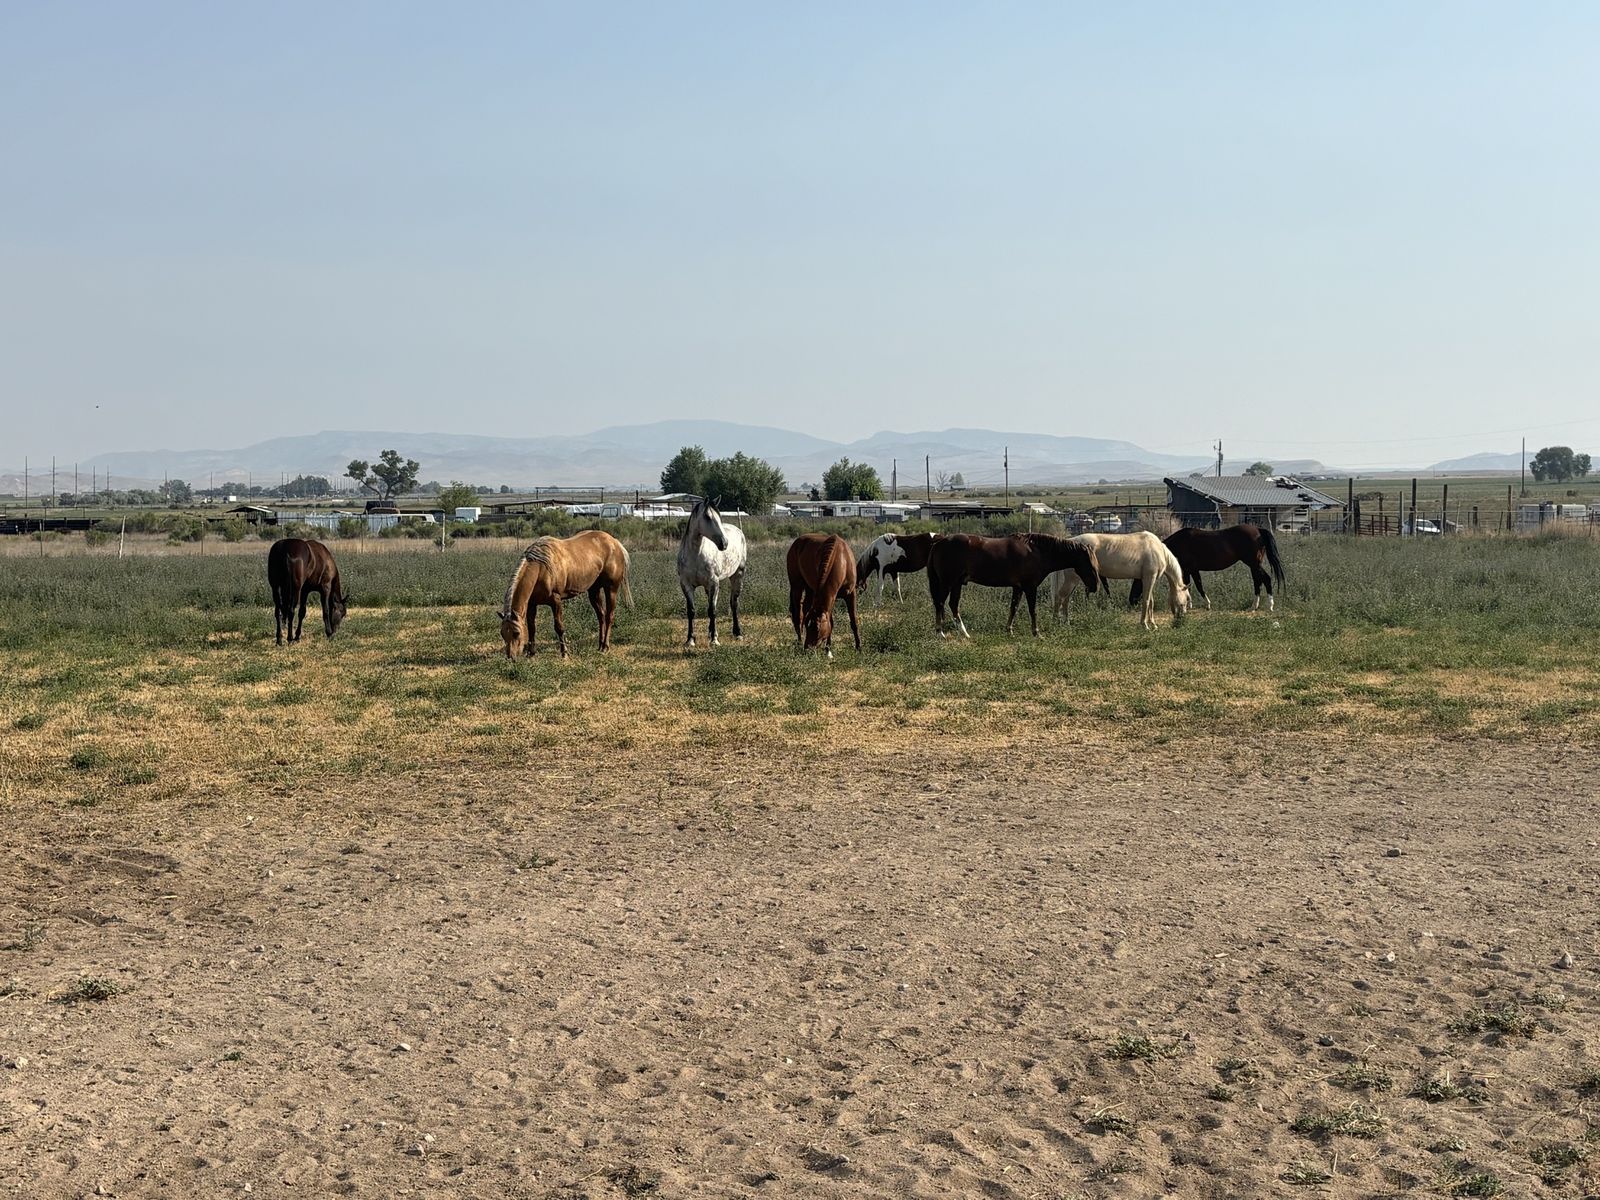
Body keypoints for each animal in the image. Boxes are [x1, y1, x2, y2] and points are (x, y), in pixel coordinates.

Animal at [498, 530, 632, 658]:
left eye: (516, 633)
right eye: (502, 633)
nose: (511, 657)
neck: (541, 568)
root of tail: (615, 542)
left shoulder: (556, 601)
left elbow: (559, 627)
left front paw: (565, 653)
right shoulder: (532, 604)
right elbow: (532, 627)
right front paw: (531, 653)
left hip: (611, 589)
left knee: (609, 616)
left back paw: (605, 647)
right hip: (594, 591)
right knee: (601, 616)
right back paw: (600, 646)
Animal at [676, 497, 748, 647]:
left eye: (719, 517)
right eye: (708, 517)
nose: (724, 544)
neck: (696, 554)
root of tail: (738, 530)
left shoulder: (713, 583)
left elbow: (712, 610)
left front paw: (714, 641)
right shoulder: (686, 585)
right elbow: (691, 611)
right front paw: (690, 640)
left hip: (737, 576)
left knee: (734, 603)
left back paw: (737, 633)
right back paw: (710, 632)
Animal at [927, 533, 1100, 638]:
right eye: (1089, 564)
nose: (1095, 586)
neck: (1036, 551)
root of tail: (938, 543)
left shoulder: (1018, 587)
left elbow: (1014, 607)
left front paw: (1009, 630)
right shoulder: (1030, 587)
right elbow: (1032, 609)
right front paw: (1036, 633)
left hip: (957, 584)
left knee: (952, 605)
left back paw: (964, 633)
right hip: (948, 583)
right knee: (940, 603)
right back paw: (940, 632)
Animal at [1048, 532, 1190, 630]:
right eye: (1184, 602)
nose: (1181, 620)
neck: (1158, 549)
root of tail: (1070, 541)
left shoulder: (1148, 579)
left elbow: (1150, 601)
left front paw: (1153, 625)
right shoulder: (1150, 577)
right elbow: (1146, 601)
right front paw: (1145, 625)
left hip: (1073, 581)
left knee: (1066, 599)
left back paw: (1067, 623)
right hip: (1072, 580)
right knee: (1060, 597)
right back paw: (1055, 622)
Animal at [1128, 523, 1285, 612]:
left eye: (1137, 583)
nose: (1131, 602)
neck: (1179, 543)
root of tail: (1258, 529)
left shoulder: (1190, 569)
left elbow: (1197, 586)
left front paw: (1206, 604)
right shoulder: (1188, 570)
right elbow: (1188, 586)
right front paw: (1189, 604)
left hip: (1254, 564)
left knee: (1265, 579)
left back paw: (1269, 606)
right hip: (1254, 565)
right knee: (1258, 581)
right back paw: (1255, 606)